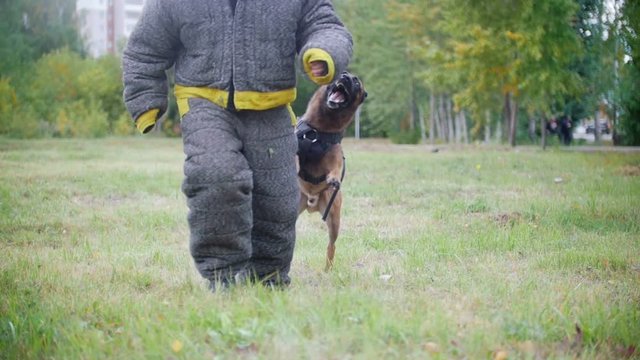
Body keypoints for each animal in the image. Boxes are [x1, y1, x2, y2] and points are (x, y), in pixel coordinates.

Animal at [294, 72, 364, 270]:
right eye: (343, 74)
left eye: (356, 82)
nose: (345, 77)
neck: (320, 129)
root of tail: (312, 203)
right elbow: (294, 156)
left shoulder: (335, 155)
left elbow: (335, 167)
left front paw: (333, 178)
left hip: (333, 218)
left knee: (331, 245)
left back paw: (328, 269)